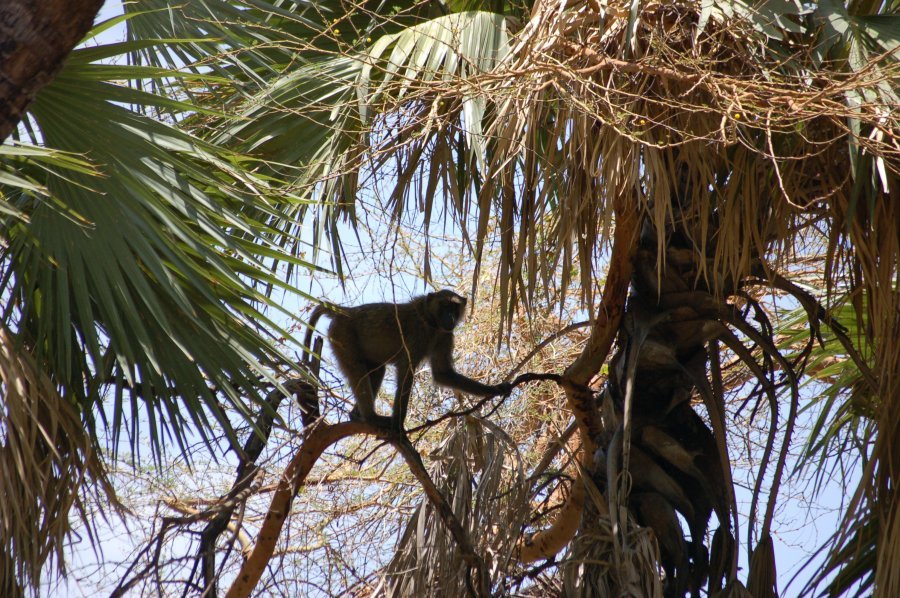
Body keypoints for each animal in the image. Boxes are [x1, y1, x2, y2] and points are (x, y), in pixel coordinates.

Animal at [304, 289, 512, 431]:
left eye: (454, 306)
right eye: (444, 305)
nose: (450, 317)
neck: (430, 321)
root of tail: (346, 311)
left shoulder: (445, 336)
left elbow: (443, 374)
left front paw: (496, 389)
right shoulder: (417, 332)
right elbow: (406, 369)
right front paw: (398, 425)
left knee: (377, 370)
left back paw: (356, 415)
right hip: (342, 336)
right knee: (357, 370)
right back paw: (371, 417)